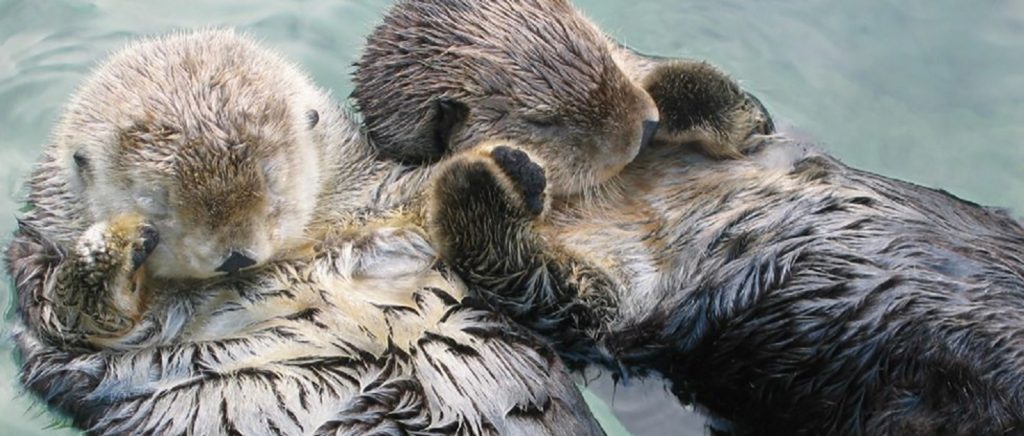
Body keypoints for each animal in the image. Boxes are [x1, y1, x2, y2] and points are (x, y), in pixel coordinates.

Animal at [4, 28, 602, 433]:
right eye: (157, 204)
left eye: (272, 180)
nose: (235, 257)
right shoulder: (47, 291)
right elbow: (77, 319)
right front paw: (112, 247)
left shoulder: (374, 202)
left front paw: (509, 167)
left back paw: (489, 178)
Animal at [352, 0, 1024, 431]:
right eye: (544, 120)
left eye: (601, 45)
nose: (646, 125)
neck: (625, 187)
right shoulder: (610, 304)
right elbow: (544, 285)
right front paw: (483, 173)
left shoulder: (760, 137)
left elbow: (745, 110)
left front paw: (672, 93)